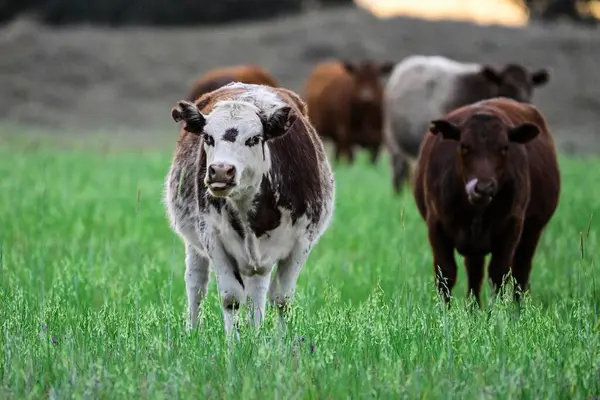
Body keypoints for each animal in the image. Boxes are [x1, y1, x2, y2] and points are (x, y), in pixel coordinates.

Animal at [163, 82, 338, 338]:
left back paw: (255, 331)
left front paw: (279, 342)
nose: (220, 171)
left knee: (257, 291)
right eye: (208, 137)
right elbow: (231, 297)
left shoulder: (301, 242)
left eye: (254, 138)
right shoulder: (212, 237)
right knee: (196, 284)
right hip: (195, 245)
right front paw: (233, 343)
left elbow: (281, 299)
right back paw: (193, 331)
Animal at [414, 96, 560, 306]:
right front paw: (444, 312)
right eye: (464, 146)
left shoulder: (512, 226)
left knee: (520, 273)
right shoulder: (436, 225)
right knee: (475, 273)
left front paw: (495, 312)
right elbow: (446, 274)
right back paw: (473, 308)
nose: (483, 187)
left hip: (532, 232)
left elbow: (499, 274)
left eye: (504, 148)